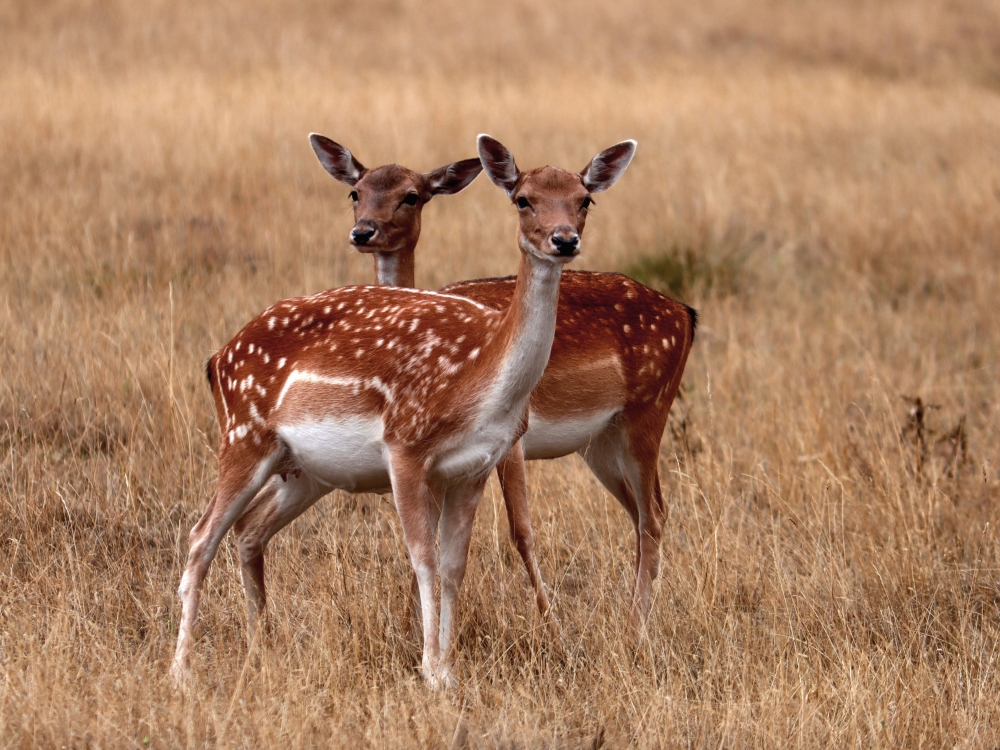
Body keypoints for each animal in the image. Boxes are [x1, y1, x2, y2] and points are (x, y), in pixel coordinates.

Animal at [171, 134, 637, 689]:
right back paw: (181, 670)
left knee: (247, 529)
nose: (563, 240)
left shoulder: (475, 467)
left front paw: (449, 668)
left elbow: (454, 566)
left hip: (304, 470)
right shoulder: (405, 447)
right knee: (201, 536)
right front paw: (431, 671)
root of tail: (217, 359)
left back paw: (259, 649)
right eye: (523, 199)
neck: (478, 385)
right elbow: (424, 560)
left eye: (584, 200)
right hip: (244, 434)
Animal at [308, 134, 698, 627]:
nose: (364, 231)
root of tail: (685, 314)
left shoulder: (514, 433)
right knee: (640, 510)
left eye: (411, 196)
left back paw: (636, 624)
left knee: (655, 513)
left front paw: (550, 624)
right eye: (355, 192)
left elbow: (521, 530)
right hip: (601, 439)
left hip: (649, 409)